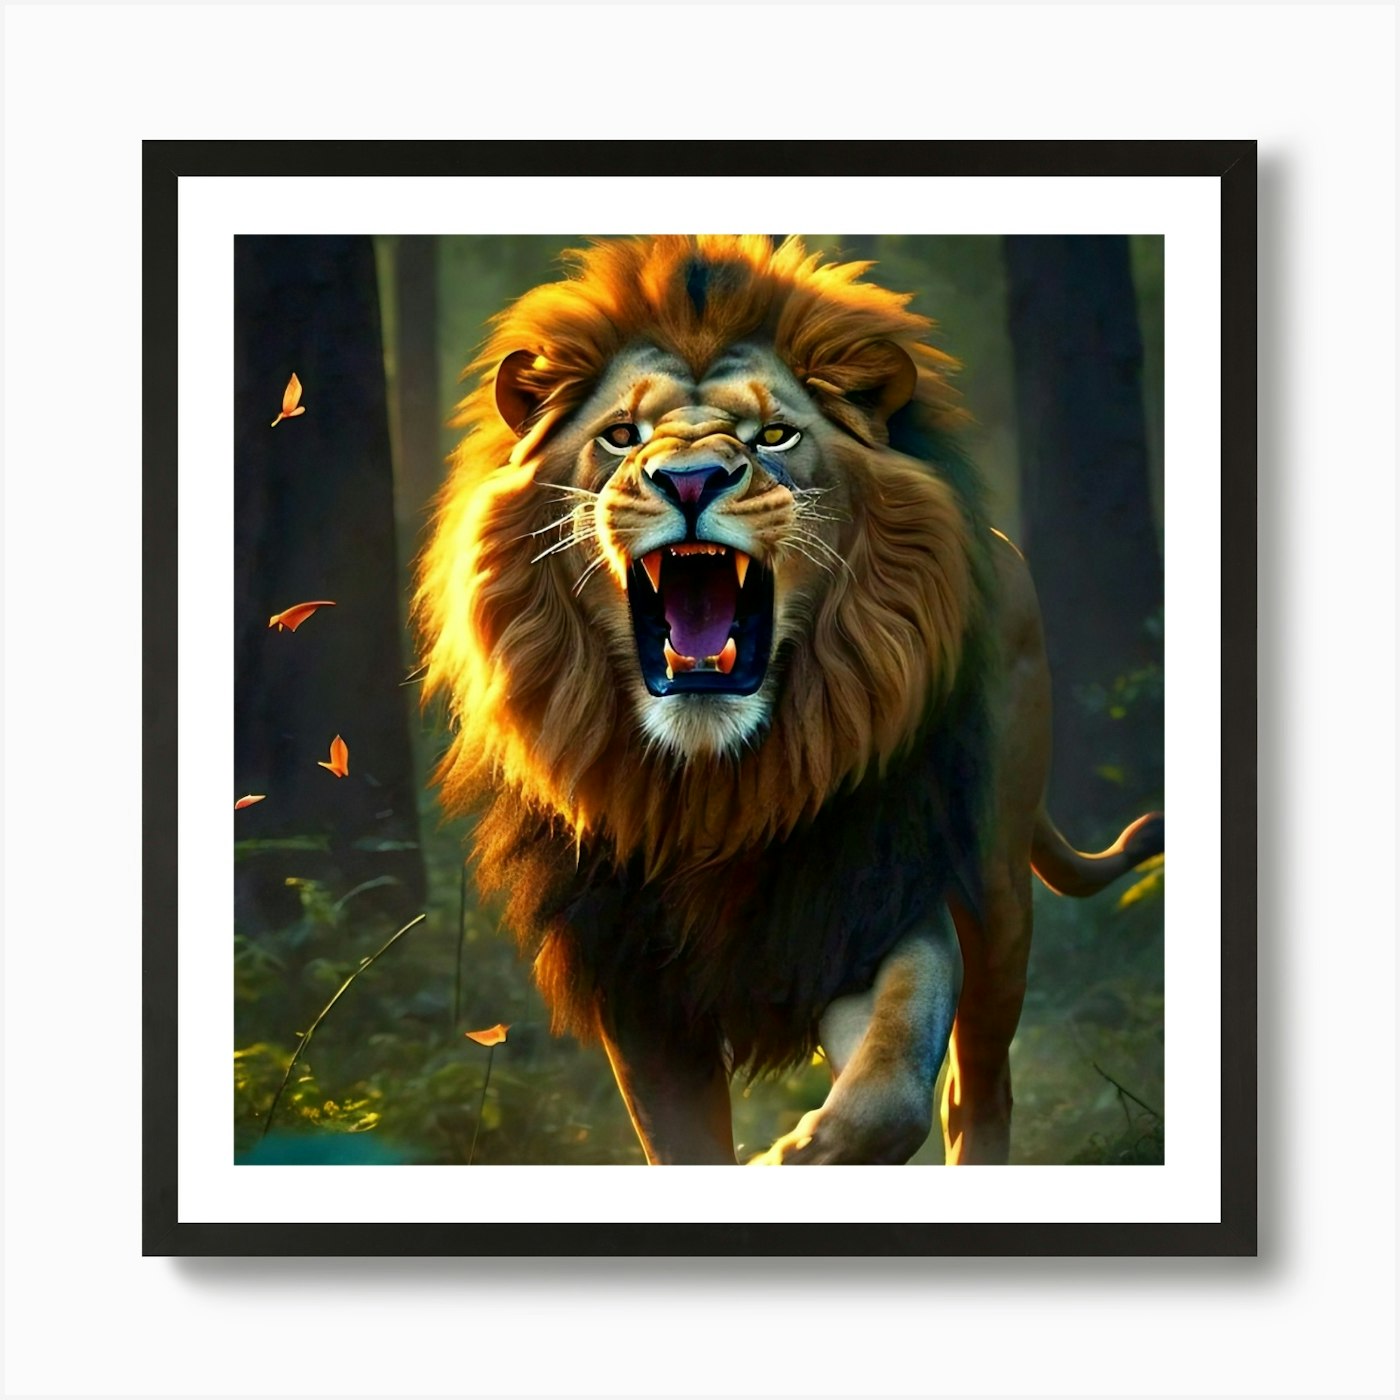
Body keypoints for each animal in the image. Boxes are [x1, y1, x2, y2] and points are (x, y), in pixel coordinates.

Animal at [414, 234, 1164, 1165]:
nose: (690, 480)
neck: (718, 789)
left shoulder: (867, 908)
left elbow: (890, 1090)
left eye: (774, 434)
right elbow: (686, 1146)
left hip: (997, 890)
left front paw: (788, 1157)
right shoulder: (637, 981)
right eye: (620, 436)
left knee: (979, 1087)